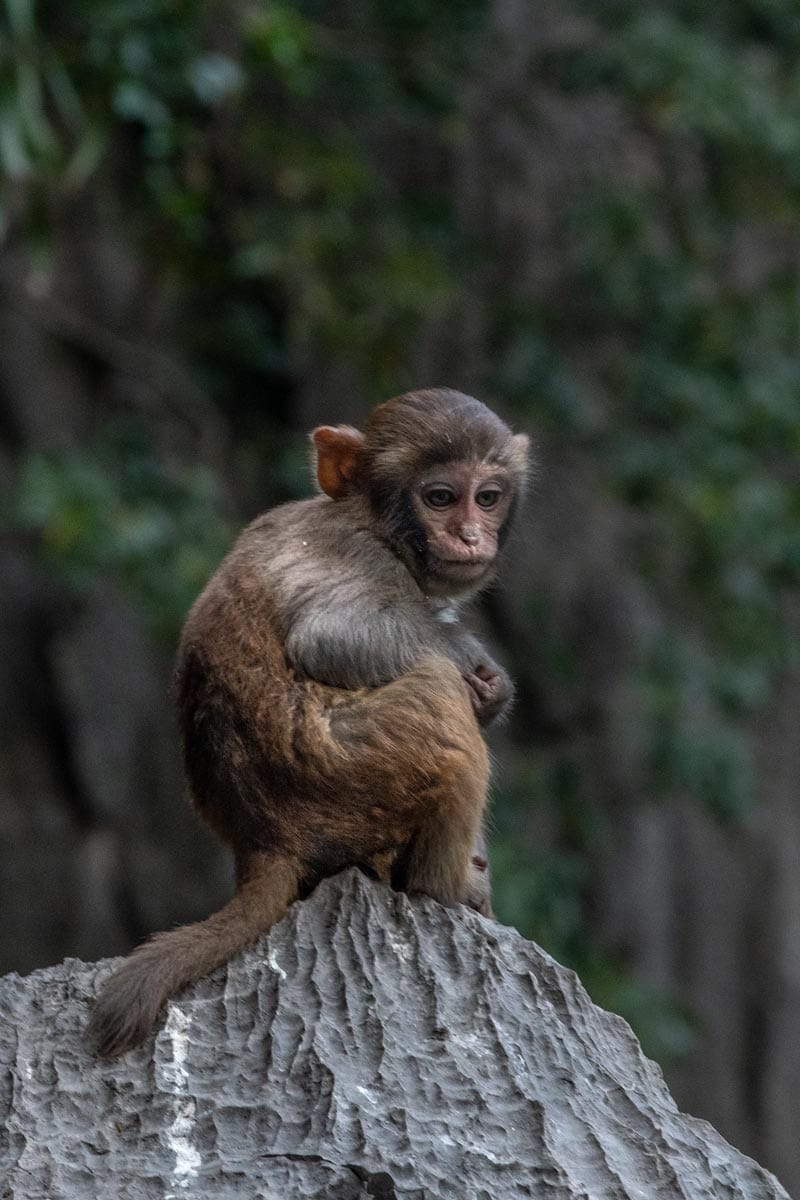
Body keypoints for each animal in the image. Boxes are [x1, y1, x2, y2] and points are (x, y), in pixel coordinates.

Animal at [90, 388, 527, 1056]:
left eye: (488, 496)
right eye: (441, 497)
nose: (471, 534)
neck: (370, 522)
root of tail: (264, 841)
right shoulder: (357, 557)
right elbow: (334, 635)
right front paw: (478, 667)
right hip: (344, 776)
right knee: (434, 694)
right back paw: (443, 887)